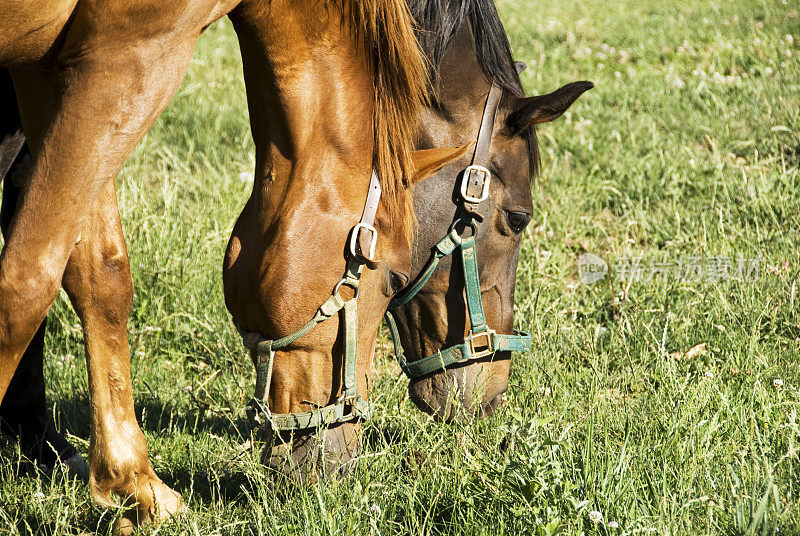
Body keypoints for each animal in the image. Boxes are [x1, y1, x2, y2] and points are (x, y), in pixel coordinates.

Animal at [0, 0, 432, 528]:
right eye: (394, 278)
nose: (340, 463)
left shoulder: (51, 69)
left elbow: (98, 274)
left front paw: (135, 485)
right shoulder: (129, 57)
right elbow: (24, 287)